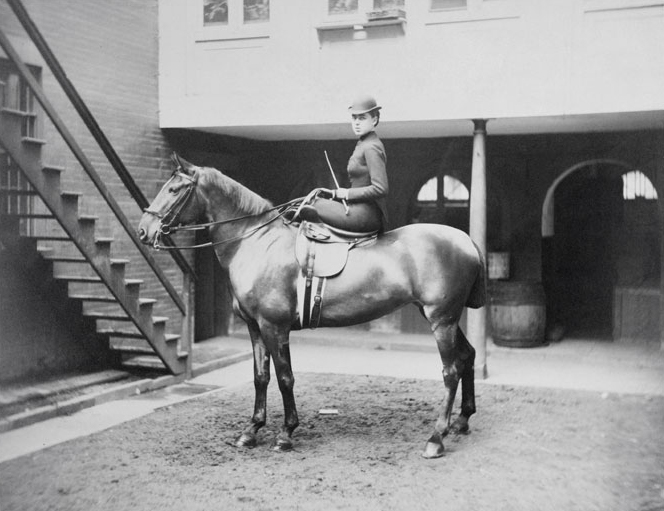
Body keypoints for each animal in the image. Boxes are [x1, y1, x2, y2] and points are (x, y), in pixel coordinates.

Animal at [136, 155, 488, 460]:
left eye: (175, 189)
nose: (143, 230)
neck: (256, 243)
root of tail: (466, 240)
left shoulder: (274, 327)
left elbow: (285, 377)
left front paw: (286, 433)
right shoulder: (255, 327)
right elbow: (260, 376)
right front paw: (251, 430)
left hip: (441, 320)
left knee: (450, 371)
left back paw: (436, 437)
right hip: (442, 318)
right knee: (467, 356)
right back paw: (462, 420)